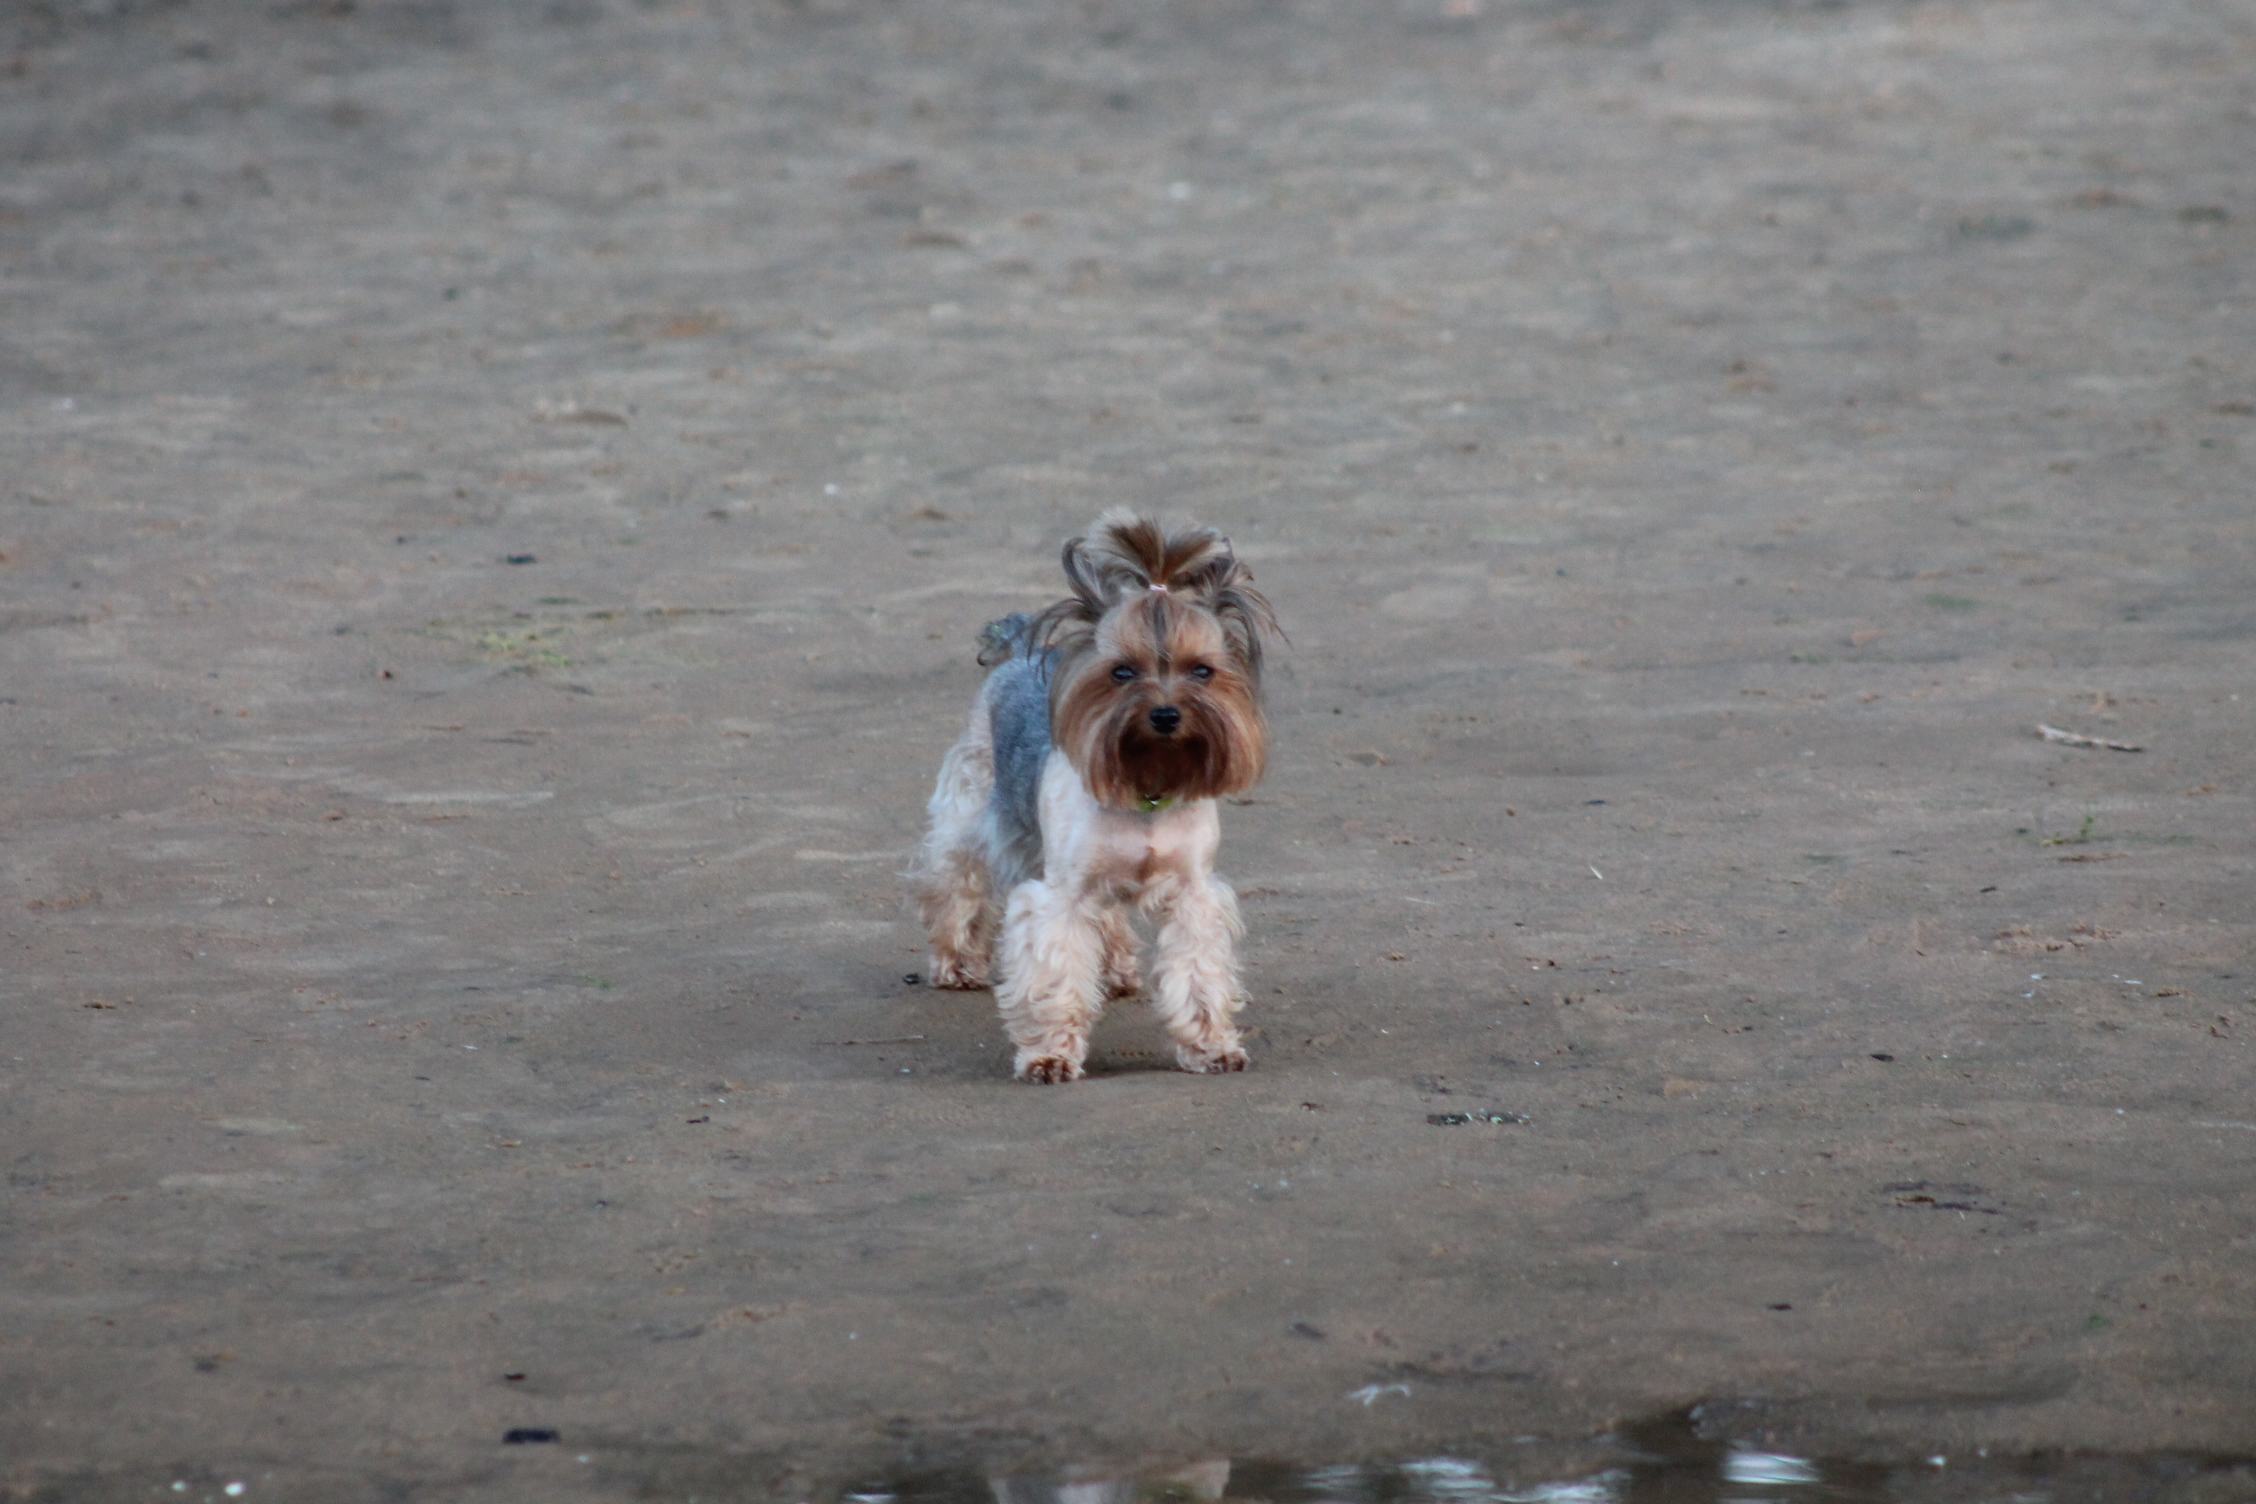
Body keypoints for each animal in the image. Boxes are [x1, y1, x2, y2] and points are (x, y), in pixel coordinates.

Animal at [906, 514, 1281, 1082]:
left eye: (1202, 670)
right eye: (1122, 671)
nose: (1166, 715)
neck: (1147, 789)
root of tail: (1019, 651)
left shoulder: (1193, 894)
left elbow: (1198, 974)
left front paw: (1211, 1047)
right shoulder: (1061, 895)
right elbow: (1055, 977)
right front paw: (1050, 1056)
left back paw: (1117, 970)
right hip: (971, 811)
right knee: (957, 882)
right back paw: (957, 962)